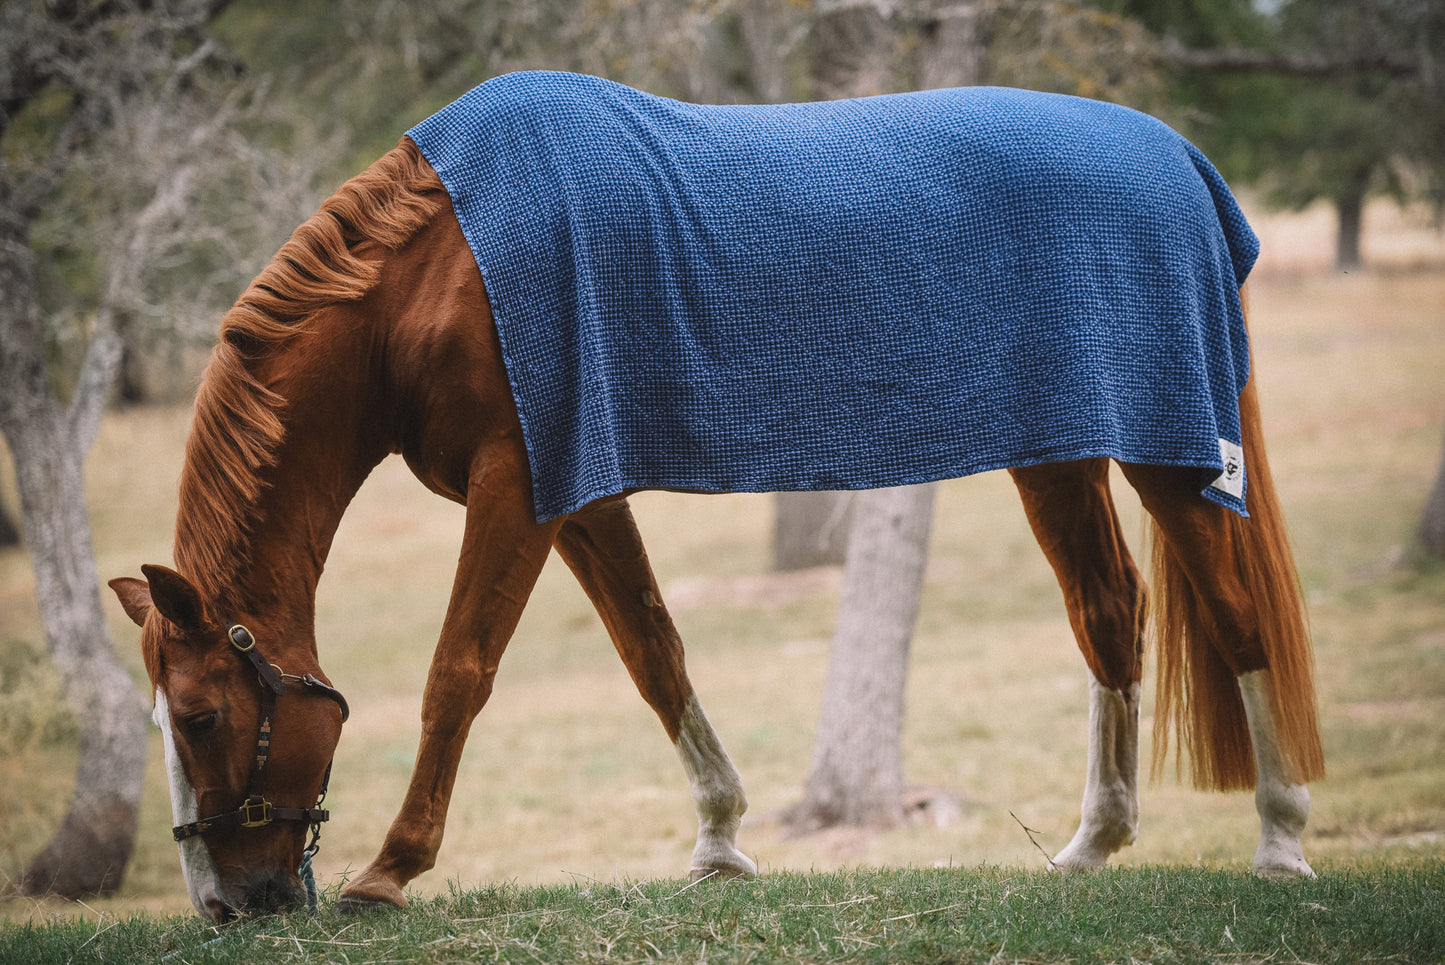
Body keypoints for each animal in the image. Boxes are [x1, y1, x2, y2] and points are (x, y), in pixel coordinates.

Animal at [109, 74, 1324, 921]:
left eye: (202, 715)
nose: (223, 904)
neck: (439, 273)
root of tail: (1171, 153)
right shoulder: (577, 492)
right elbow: (654, 653)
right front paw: (720, 843)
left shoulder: (517, 489)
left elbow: (458, 673)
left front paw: (388, 869)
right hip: (1058, 452)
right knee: (1108, 613)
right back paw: (1092, 844)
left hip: (1168, 456)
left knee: (1234, 618)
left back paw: (1279, 841)